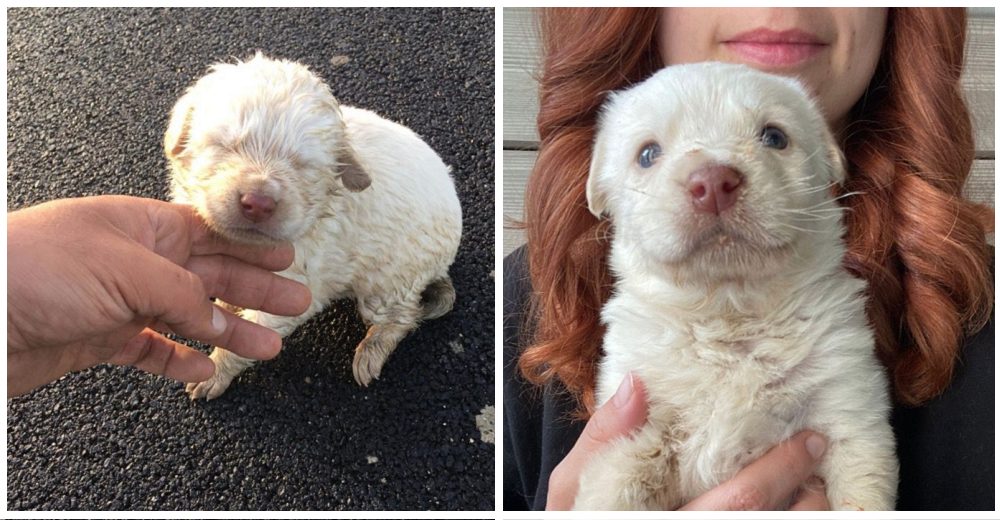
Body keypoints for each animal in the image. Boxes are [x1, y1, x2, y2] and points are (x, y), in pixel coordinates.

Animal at [164, 53, 460, 398]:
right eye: (224, 145)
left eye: (302, 165)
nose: (258, 202)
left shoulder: (293, 289)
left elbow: (245, 337)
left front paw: (214, 371)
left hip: (388, 282)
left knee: (403, 316)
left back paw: (371, 352)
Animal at [580, 63, 900, 510]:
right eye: (647, 154)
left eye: (774, 136)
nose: (713, 183)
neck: (729, 312)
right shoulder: (634, 414)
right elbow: (618, 481)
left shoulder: (848, 406)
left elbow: (860, 491)